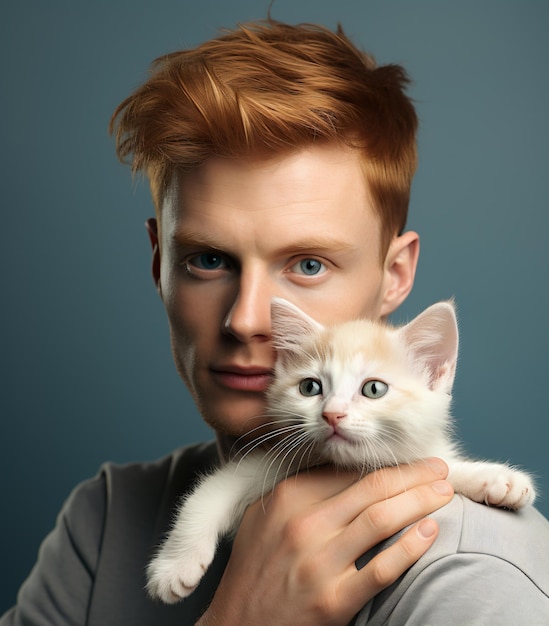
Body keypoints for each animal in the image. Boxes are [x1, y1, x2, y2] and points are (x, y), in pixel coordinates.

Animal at [147, 300, 536, 604]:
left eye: (374, 389)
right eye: (309, 387)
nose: (332, 414)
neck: (345, 467)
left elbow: (441, 466)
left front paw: (498, 480)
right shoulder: (266, 462)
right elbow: (206, 496)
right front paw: (173, 567)